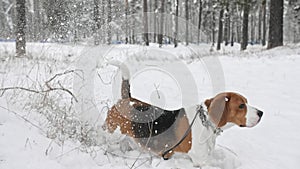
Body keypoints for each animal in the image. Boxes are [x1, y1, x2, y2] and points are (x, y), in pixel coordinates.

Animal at [103, 64, 262, 166]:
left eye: (246, 102)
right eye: (241, 106)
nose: (261, 113)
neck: (205, 123)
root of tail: (126, 99)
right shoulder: (200, 161)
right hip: (111, 133)